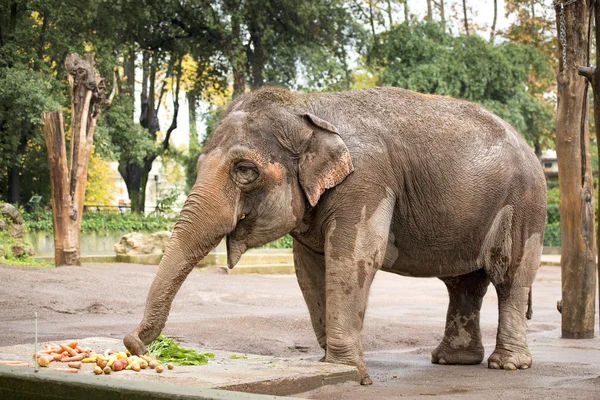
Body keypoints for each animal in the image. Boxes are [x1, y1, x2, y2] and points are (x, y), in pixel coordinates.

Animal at [124, 86, 548, 384]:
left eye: (245, 170)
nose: (133, 343)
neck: (308, 107)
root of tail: (531, 148)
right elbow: (310, 269)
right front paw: (330, 368)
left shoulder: (366, 182)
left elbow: (353, 256)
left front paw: (352, 375)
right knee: (464, 283)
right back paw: (451, 360)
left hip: (525, 205)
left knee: (509, 277)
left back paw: (507, 365)